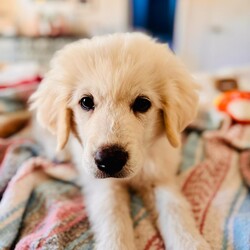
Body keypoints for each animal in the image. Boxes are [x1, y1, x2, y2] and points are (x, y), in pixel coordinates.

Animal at [29, 33, 211, 250]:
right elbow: (113, 217)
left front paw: (190, 242)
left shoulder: (160, 175)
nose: (110, 160)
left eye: (142, 103)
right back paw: (57, 152)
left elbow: (175, 209)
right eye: (86, 102)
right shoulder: (105, 186)